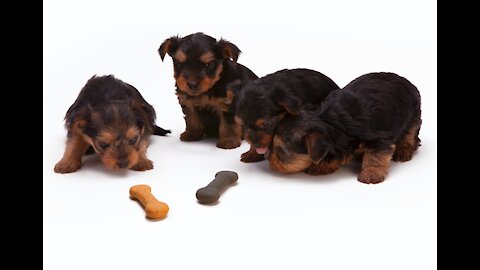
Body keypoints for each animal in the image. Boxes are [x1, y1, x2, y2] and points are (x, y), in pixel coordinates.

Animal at [268, 71, 422, 184]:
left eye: (280, 152)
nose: (269, 159)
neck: (329, 121)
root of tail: (406, 80)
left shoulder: (379, 138)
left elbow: (375, 156)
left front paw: (371, 173)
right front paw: (322, 165)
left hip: (412, 115)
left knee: (410, 134)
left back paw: (403, 150)